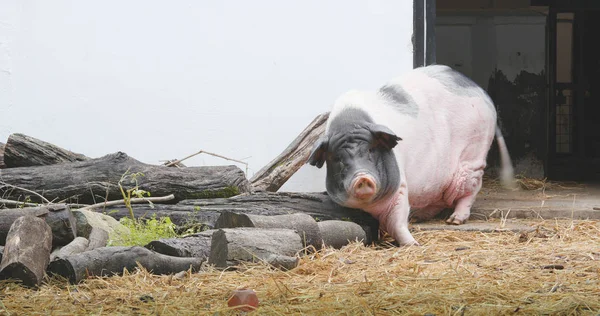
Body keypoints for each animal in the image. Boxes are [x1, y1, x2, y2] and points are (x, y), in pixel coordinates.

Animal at [308, 65, 512, 247]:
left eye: (371, 150)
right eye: (337, 159)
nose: (362, 177)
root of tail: (483, 94)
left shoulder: (399, 187)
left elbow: (396, 222)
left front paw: (414, 244)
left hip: (472, 158)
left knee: (472, 189)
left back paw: (454, 220)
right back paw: (421, 217)